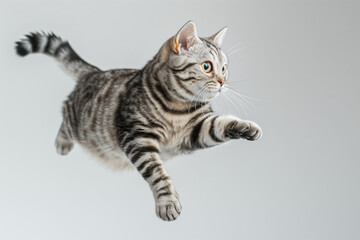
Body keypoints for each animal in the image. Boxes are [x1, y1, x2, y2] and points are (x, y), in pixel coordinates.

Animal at [15, 21, 262, 222]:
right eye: (207, 66)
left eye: (224, 68)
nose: (222, 82)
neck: (178, 109)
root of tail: (94, 72)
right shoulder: (137, 137)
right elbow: (157, 173)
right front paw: (167, 202)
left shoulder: (195, 130)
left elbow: (222, 124)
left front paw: (246, 127)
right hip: (79, 123)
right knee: (64, 114)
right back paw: (62, 142)